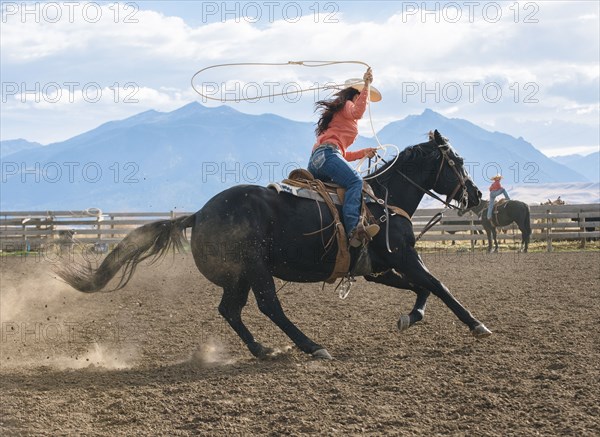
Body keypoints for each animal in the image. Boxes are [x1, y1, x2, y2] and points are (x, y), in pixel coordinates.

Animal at [57, 129, 492, 358]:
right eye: (456, 161)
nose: (476, 195)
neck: (385, 199)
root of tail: (199, 213)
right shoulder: (404, 256)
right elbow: (437, 284)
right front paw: (477, 324)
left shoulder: (379, 269)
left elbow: (421, 289)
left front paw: (409, 317)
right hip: (255, 268)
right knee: (269, 306)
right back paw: (312, 346)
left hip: (239, 275)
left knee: (230, 310)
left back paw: (262, 350)